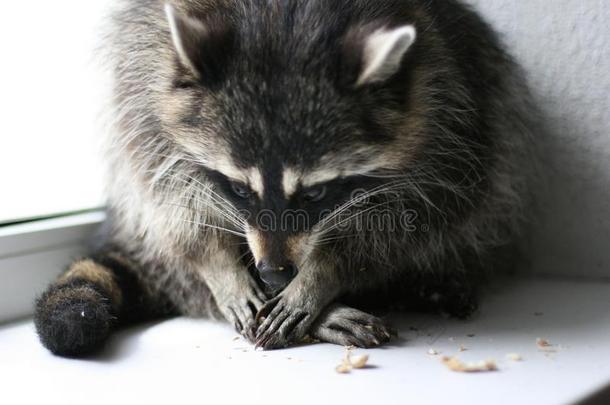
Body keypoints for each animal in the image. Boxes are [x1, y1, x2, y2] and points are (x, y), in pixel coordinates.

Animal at [35, 0, 532, 356]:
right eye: (239, 189)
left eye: (316, 192)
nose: (274, 274)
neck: (285, 22)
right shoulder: (144, 86)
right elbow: (169, 200)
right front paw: (220, 266)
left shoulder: (447, 113)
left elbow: (413, 215)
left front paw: (325, 273)